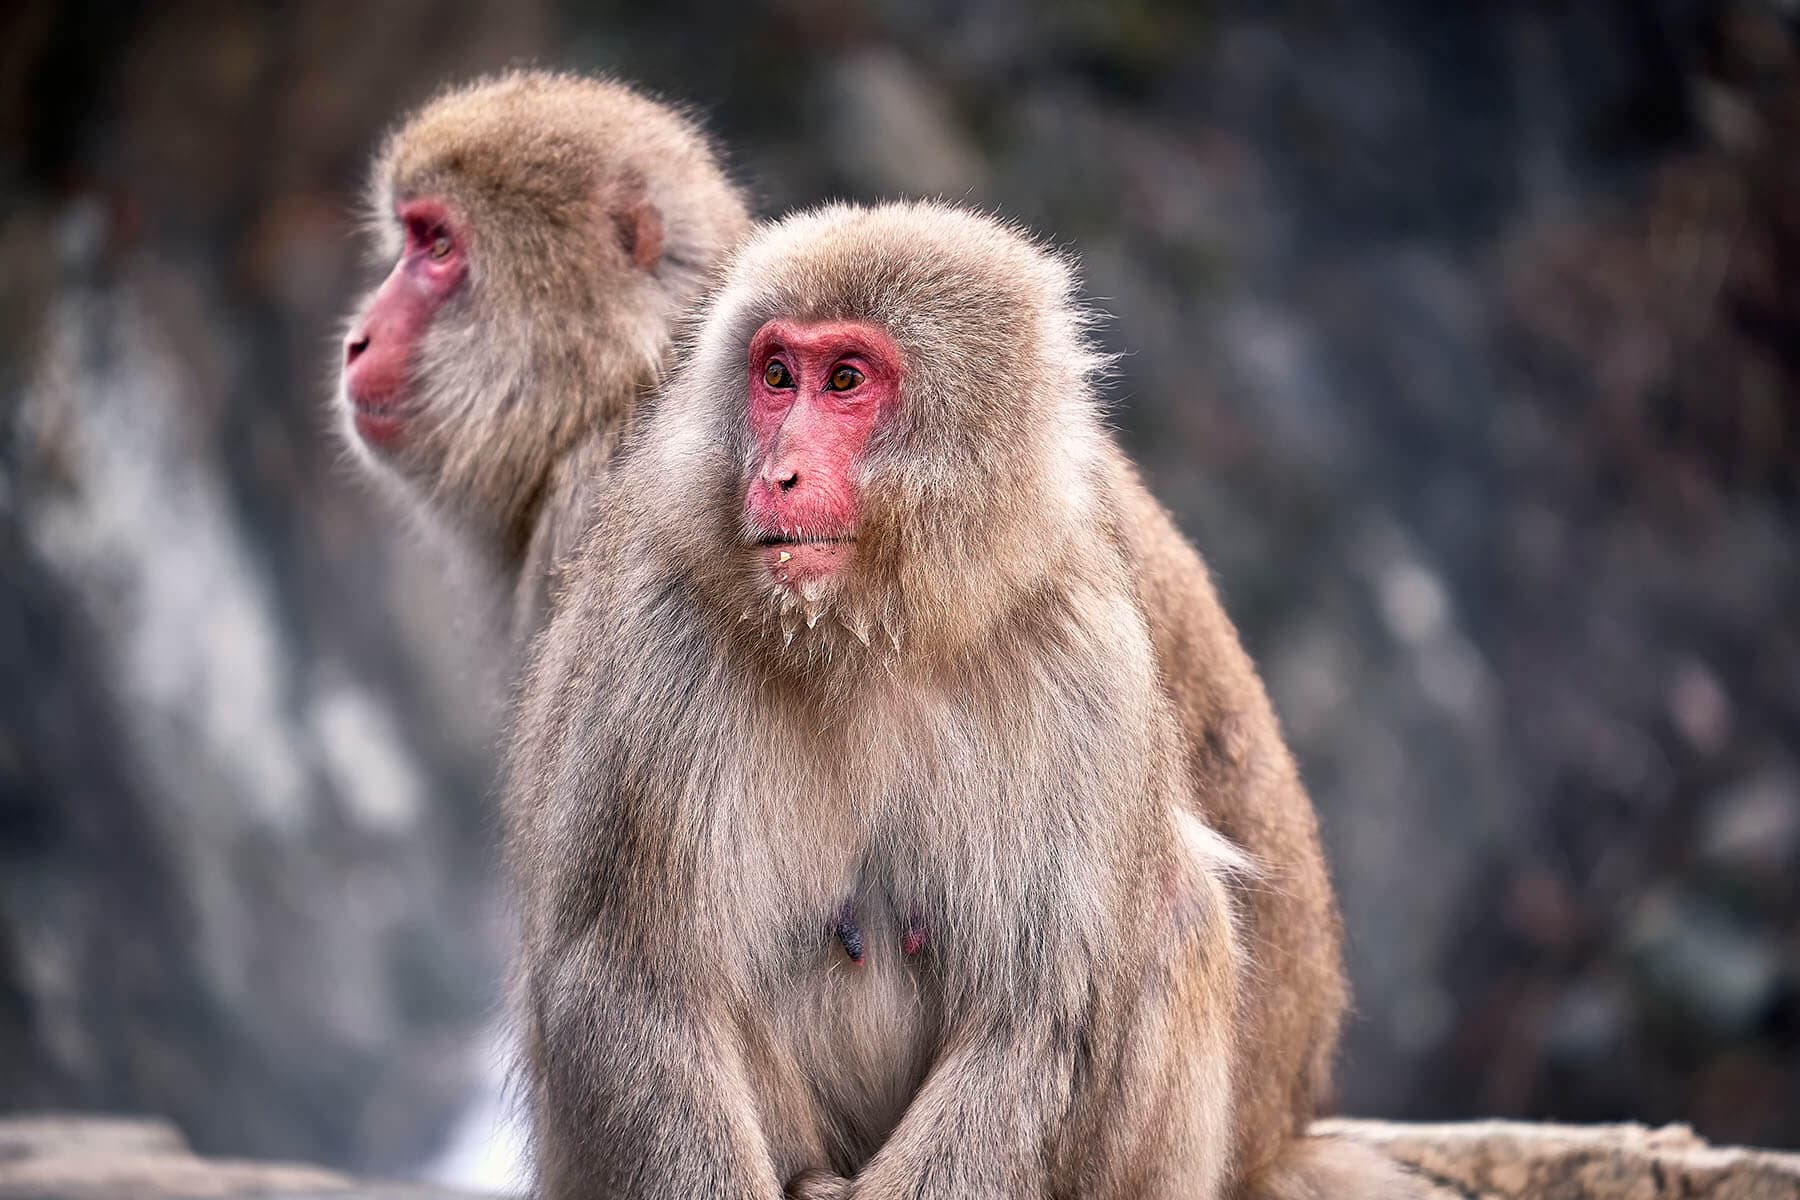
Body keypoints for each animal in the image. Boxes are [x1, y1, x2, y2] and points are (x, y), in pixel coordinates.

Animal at [504, 201, 1421, 1199]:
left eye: (847, 380)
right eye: (778, 376)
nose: (776, 474)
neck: (872, 637)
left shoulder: (1085, 661)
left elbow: (1039, 1015)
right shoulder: (658, 646)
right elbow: (636, 991)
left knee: (1178, 914)